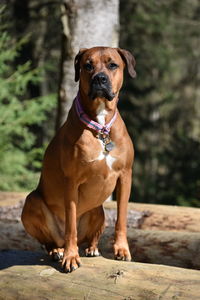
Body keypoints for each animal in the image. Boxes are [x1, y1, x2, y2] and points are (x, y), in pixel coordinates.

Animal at [21, 46, 136, 272]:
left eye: (113, 65)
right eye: (87, 65)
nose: (99, 78)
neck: (100, 127)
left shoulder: (125, 176)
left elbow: (121, 218)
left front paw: (122, 249)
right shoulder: (72, 182)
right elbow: (71, 225)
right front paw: (70, 256)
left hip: (98, 210)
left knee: (93, 234)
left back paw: (92, 247)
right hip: (31, 203)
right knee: (49, 240)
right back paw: (58, 251)